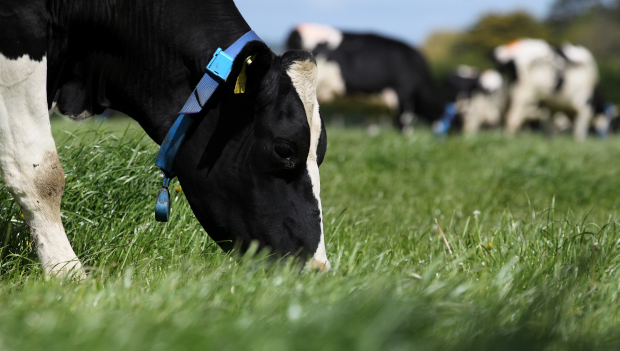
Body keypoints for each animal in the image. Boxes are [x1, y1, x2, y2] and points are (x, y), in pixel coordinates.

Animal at [286, 22, 456, 135]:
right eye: (458, 118)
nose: (457, 137)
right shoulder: (402, 93)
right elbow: (405, 122)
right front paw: (407, 139)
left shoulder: (374, 101)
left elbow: (372, 122)